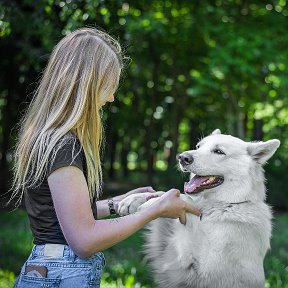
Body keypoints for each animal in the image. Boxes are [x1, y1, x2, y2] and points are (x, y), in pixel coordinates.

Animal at [118, 130, 280, 288]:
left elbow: (185, 200)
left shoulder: (201, 266)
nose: (182, 157)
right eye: (198, 147)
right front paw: (133, 199)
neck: (228, 204)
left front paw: (154, 203)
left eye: (219, 151)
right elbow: (168, 192)